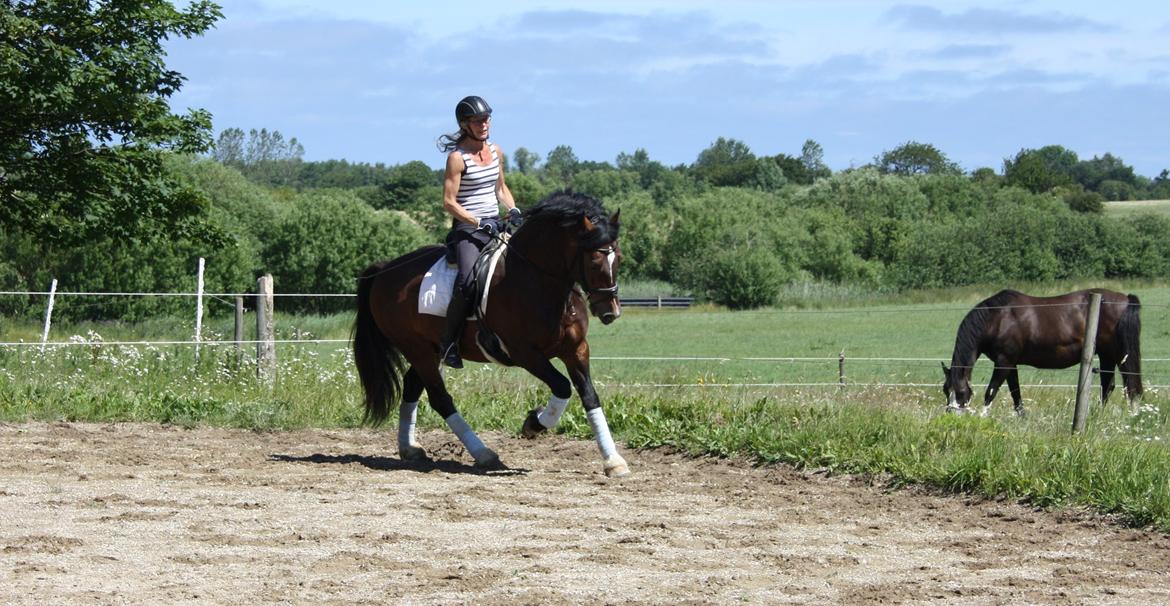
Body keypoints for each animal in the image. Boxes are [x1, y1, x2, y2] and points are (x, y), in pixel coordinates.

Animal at [351, 193, 631, 477]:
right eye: (594, 261)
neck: (539, 281)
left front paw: (613, 461)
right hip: (417, 350)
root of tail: (386, 269)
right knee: (440, 398)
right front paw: (533, 424)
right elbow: (563, 387)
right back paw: (483, 453)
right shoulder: (524, 353)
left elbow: (589, 396)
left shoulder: (576, 348)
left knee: (412, 386)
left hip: (429, 350)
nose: (610, 312)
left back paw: (409, 448)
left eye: (618, 257)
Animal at [940, 290, 1141, 418]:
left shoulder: (1004, 362)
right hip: (1106, 355)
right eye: (945, 390)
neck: (997, 319)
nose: (950, 416)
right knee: (1108, 386)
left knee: (1129, 384)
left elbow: (991, 392)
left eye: (961, 392)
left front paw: (982, 417)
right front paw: (1022, 417)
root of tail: (1125, 298)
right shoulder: (1011, 364)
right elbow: (1016, 394)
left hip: (1119, 353)